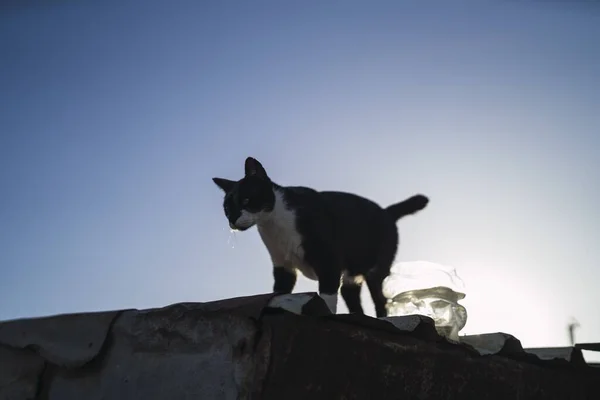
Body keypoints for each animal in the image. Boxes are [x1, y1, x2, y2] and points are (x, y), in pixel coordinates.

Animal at [211, 156, 426, 316]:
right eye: (227, 208)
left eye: (246, 200)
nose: (232, 219)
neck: (274, 223)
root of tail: (387, 212)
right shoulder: (282, 265)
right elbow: (279, 292)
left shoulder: (329, 261)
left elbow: (327, 297)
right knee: (350, 292)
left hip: (376, 267)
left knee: (379, 299)